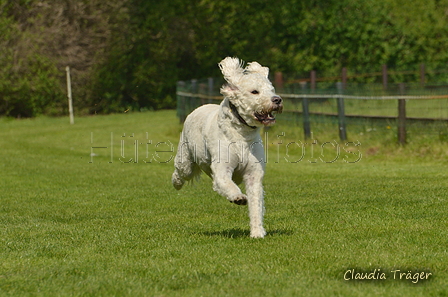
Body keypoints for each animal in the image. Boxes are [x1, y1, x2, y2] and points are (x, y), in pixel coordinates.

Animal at [172, 56, 284, 237]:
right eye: (255, 92)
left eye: (271, 89)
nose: (277, 99)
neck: (242, 134)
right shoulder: (222, 170)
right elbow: (227, 184)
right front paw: (238, 197)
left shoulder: (254, 174)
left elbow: (256, 204)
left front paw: (257, 231)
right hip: (185, 160)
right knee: (181, 172)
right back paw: (176, 182)